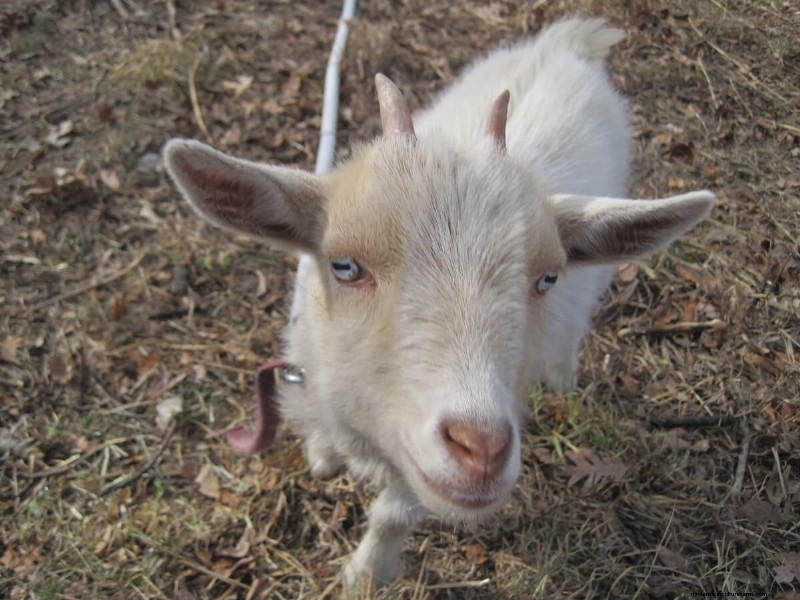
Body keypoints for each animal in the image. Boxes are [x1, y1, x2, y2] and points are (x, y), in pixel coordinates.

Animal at [164, 16, 715, 586]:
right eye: (344, 266)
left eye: (547, 278)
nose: (482, 450)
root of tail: (569, 43)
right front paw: (322, 455)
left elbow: (392, 514)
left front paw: (367, 573)